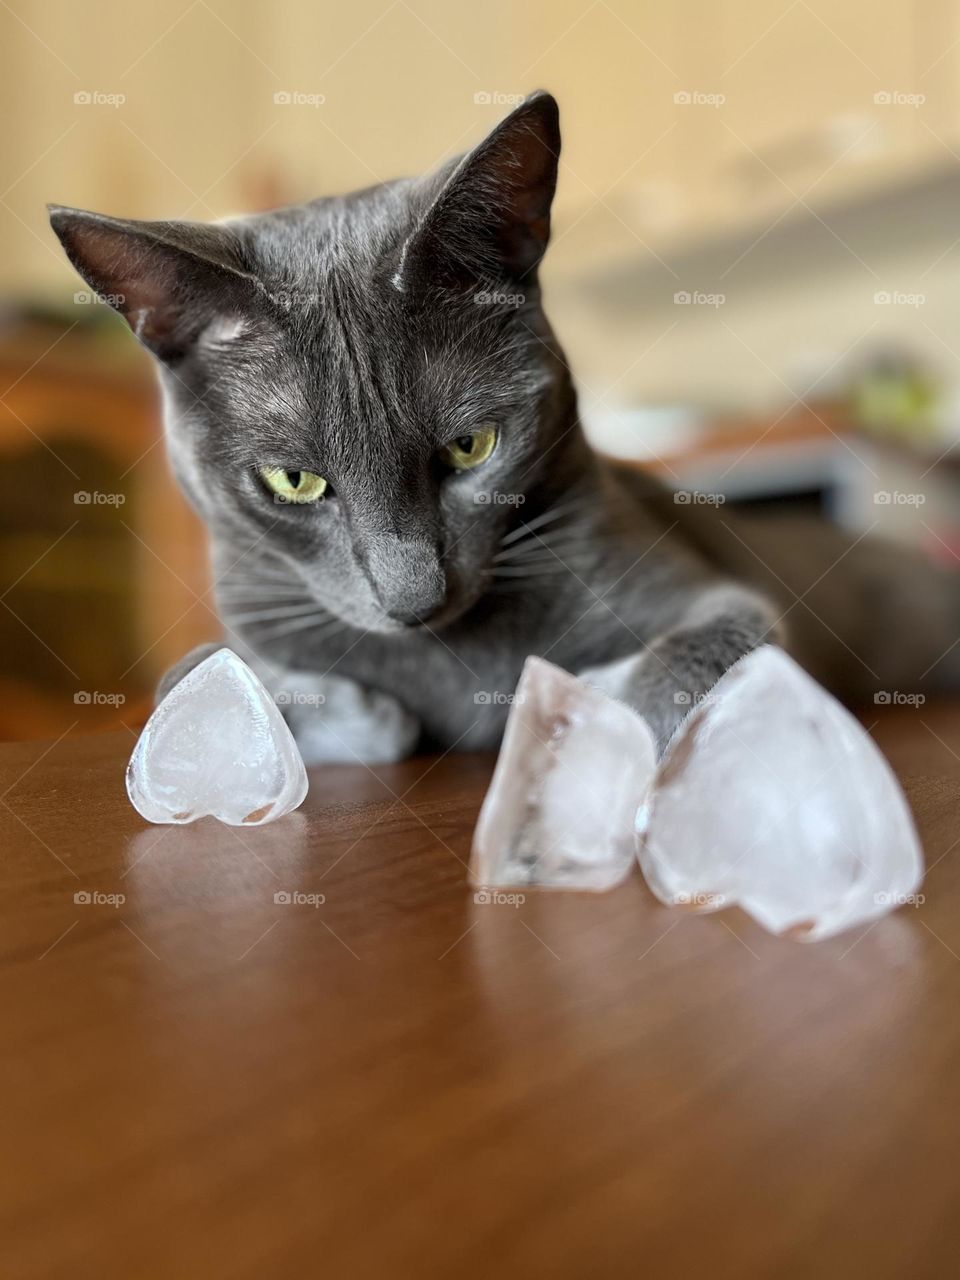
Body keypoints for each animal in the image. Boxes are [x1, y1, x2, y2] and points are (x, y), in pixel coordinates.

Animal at [50, 94, 960, 762]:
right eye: (293, 481)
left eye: (471, 446)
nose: (412, 599)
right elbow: (187, 678)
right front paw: (359, 713)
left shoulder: (716, 596)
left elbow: (687, 667)